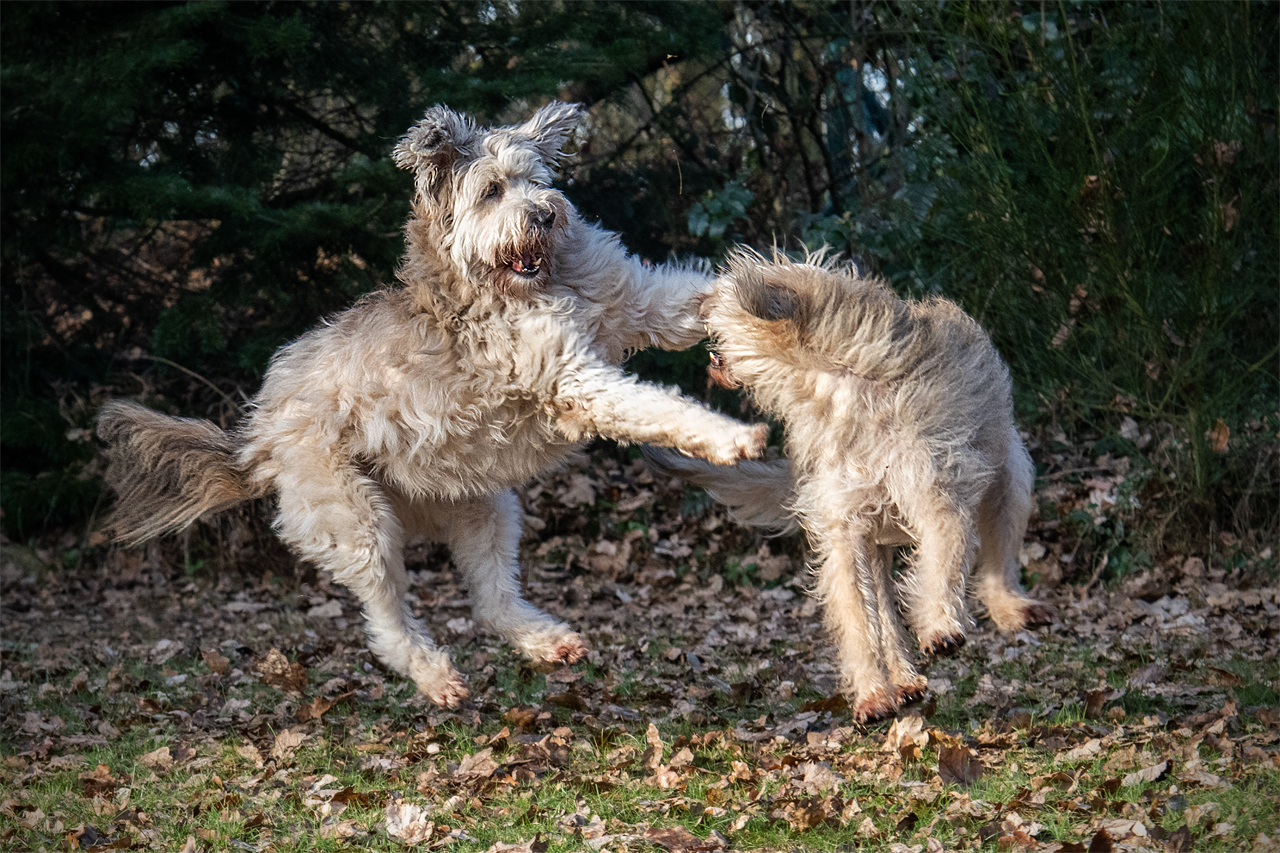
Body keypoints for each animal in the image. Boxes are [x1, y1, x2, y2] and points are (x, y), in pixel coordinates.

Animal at [99, 103, 762, 701]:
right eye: (492, 191)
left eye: (536, 179)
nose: (547, 213)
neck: (530, 283)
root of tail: (252, 440)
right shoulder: (573, 378)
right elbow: (658, 408)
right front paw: (732, 436)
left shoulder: (638, 303)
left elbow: (696, 299)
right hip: (357, 522)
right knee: (386, 621)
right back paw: (435, 676)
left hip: (483, 508)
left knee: (491, 602)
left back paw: (549, 644)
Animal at [650, 251, 1049, 717]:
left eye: (723, 290)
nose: (698, 300)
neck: (836, 386)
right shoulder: (843, 530)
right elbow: (858, 617)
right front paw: (873, 693)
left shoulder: (936, 496)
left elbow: (940, 564)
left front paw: (939, 625)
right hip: (877, 542)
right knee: (886, 615)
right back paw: (903, 679)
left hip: (1011, 481)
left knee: (998, 564)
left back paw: (1010, 608)